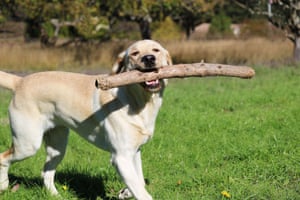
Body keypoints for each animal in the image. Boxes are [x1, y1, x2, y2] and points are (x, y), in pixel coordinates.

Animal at [0, 39, 171, 199]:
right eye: (135, 53)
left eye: (156, 50)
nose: (149, 58)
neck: (139, 103)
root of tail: (20, 81)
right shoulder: (121, 156)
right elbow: (142, 192)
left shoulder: (135, 151)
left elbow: (139, 181)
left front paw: (125, 192)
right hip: (27, 144)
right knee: (3, 158)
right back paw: (4, 185)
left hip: (57, 147)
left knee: (46, 173)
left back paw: (56, 195)